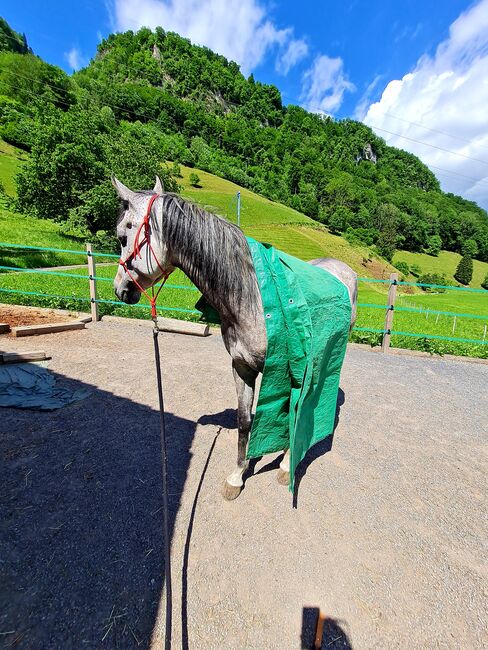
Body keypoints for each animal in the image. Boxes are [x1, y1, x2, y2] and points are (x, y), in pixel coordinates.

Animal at [113, 175, 358, 498]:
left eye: (122, 237)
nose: (120, 289)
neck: (250, 296)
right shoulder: (241, 367)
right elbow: (245, 421)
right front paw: (238, 475)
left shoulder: (287, 371)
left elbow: (292, 410)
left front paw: (284, 465)